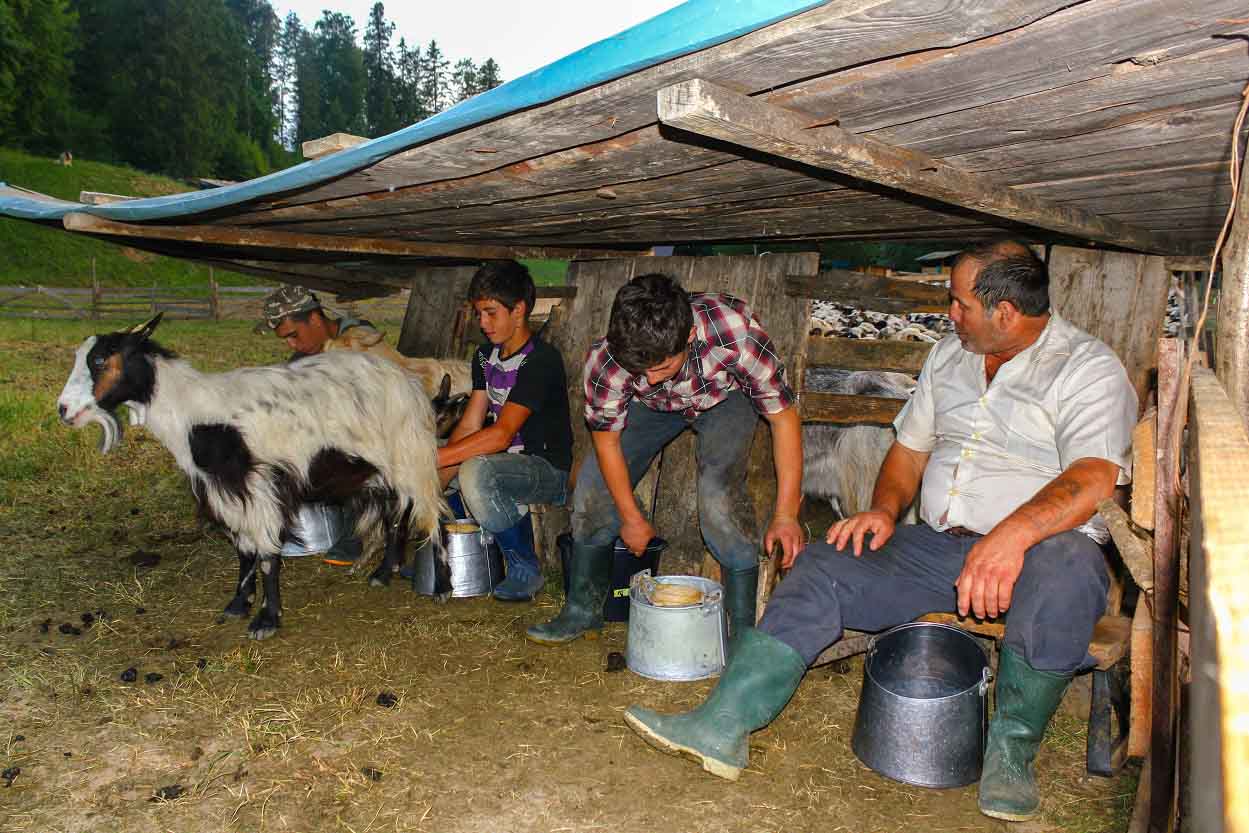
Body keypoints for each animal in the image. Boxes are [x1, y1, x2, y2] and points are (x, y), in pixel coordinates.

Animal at [56, 315, 454, 644]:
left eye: (99, 360)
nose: (63, 410)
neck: (192, 415)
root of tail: (412, 385)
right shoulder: (223, 492)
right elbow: (243, 551)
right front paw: (238, 603)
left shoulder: (258, 486)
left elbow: (265, 555)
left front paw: (266, 619)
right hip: (378, 469)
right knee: (397, 514)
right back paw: (385, 573)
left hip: (412, 454)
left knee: (434, 515)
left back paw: (443, 584)